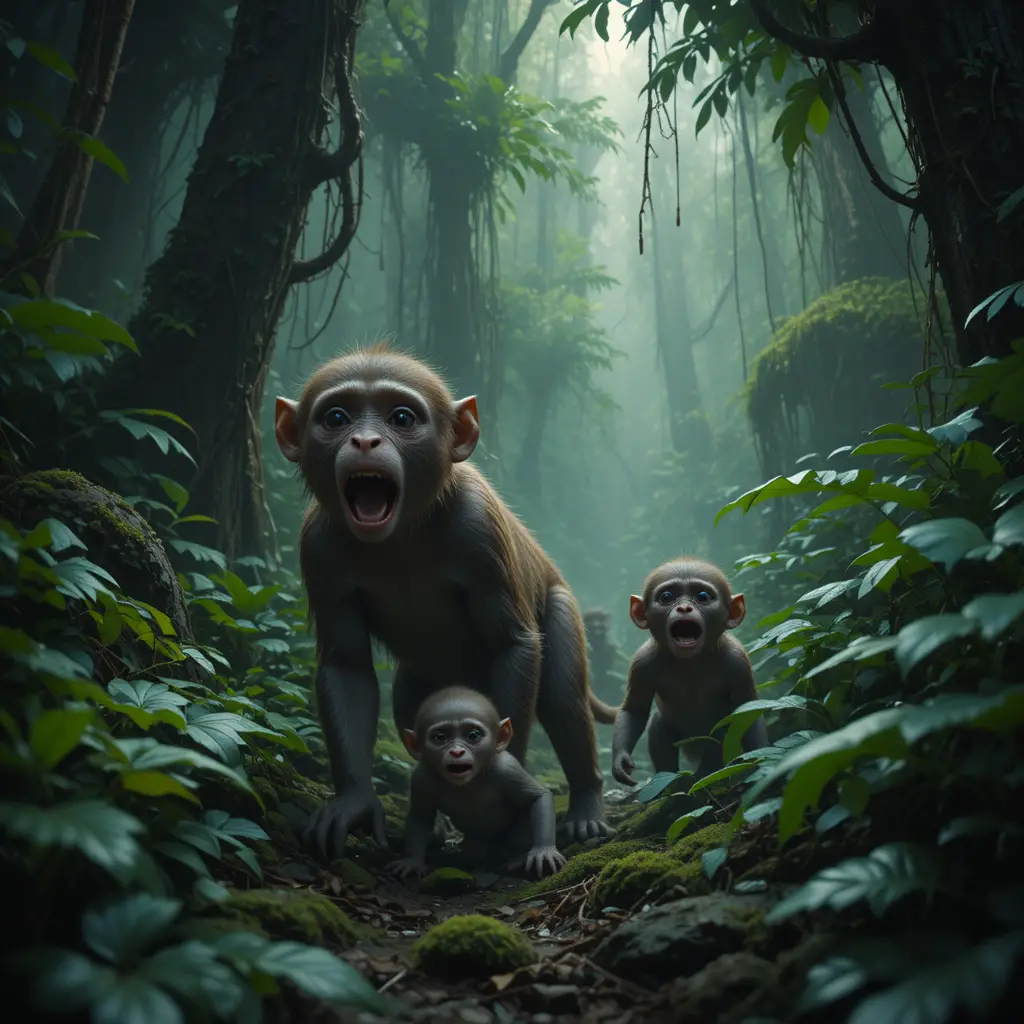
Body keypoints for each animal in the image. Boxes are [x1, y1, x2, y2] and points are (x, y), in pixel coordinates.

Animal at [388, 686, 566, 880]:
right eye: (440, 737)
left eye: (473, 735)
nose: (457, 752)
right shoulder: (421, 778)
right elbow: (421, 816)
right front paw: (412, 861)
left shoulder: (507, 769)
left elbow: (538, 798)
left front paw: (543, 851)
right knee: (475, 849)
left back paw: (517, 858)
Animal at [611, 558, 768, 788]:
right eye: (667, 597)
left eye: (702, 596)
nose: (684, 607)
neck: (691, 661)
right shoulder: (642, 662)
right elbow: (635, 710)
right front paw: (621, 761)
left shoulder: (737, 661)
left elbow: (746, 710)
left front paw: (760, 762)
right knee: (659, 725)